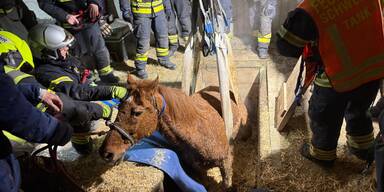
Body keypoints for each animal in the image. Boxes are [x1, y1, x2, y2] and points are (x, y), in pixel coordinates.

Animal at [99, 75, 243, 189]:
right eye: (119, 106)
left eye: (137, 112)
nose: (106, 153)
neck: (200, 131)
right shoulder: (197, 170)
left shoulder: (226, 162)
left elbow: (226, 184)